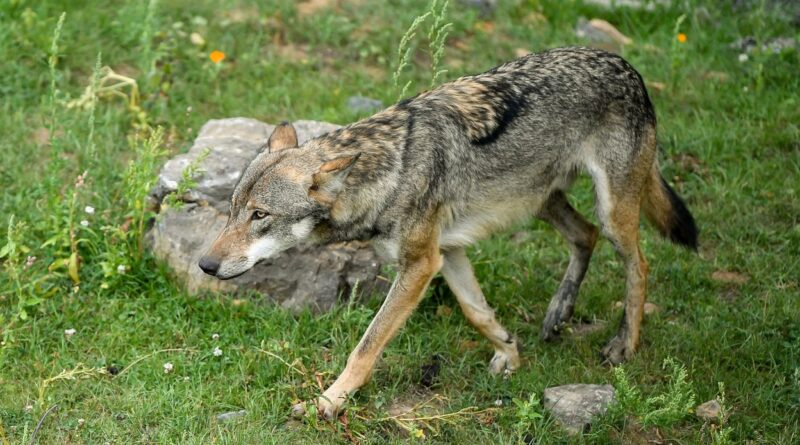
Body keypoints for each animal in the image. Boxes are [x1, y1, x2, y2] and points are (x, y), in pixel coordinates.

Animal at [198, 46, 698, 419]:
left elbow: (367, 346)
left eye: (260, 215)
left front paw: (329, 402)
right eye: (233, 210)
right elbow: (477, 313)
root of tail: (626, 65)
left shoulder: (420, 264)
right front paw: (511, 354)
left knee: (640, 264)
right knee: (585, 235)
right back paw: (558, 314)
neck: (391, 171)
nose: (205, 264)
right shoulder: (447, 252)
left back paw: (624, 345)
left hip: (611, 211)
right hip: (541, 202)